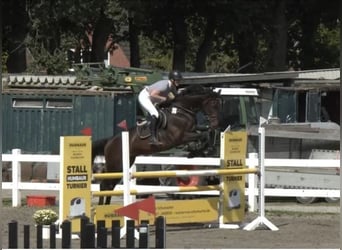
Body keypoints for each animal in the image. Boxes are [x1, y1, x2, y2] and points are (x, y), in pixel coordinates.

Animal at [91, 86, 222, 205]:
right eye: (213, 104)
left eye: (219, 105)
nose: (215, 123)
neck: (181, 111)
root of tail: (110, 141)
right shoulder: (180, 137)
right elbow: (202, 135)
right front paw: (198, 150)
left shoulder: (192, 130)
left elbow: (204, 133)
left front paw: (203, 148)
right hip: (116, 164)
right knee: (104, 185)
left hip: (124, 163)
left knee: (109, 185)